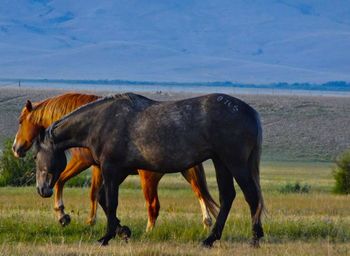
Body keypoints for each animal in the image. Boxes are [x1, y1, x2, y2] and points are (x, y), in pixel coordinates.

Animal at [12, 93, 217, 231]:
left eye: (21, 121)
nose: (15, 148)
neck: (88, 126)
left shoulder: (84, 162)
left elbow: (70, 184)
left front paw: (66, 215)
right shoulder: (100, 167)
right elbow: (97, 194)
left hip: (149, 177)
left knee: (153, 206)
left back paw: (149, 232)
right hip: (187, 171)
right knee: (200, 194)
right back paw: (206, 224)